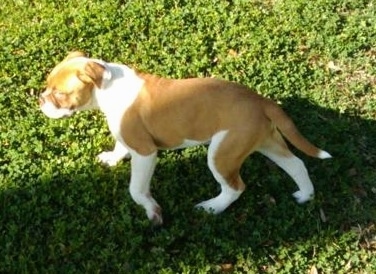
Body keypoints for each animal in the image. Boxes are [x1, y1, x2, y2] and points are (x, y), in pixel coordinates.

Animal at [39, 52, 330, 225]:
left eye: (59, 93)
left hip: (222, 153)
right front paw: (111, 159)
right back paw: (305, 195)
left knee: (235, 187)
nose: (40, 99)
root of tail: (260, 100)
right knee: (296, 164)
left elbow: (136, 189)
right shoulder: (127, 135)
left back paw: (212, 208)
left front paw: (152, 211)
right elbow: (119, 147)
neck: (106, 86)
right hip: (265, 141)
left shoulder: (145, 153)